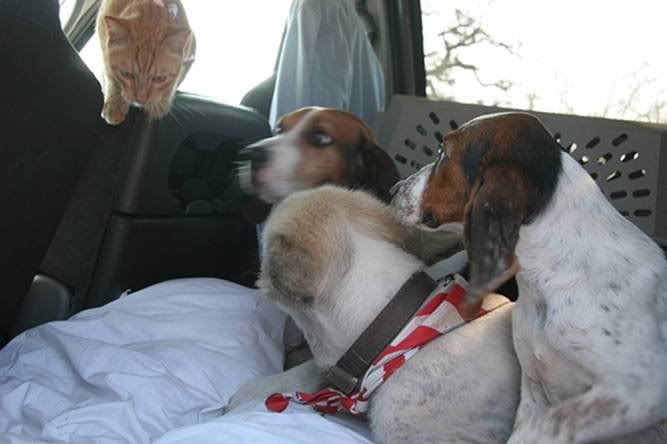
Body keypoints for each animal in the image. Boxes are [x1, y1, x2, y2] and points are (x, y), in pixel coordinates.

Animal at [394, 112, 667, 442]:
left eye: (442, 152)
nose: (394, 189)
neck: (549, 276)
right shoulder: (534, 388)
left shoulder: (639, 392)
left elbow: (545, 428)